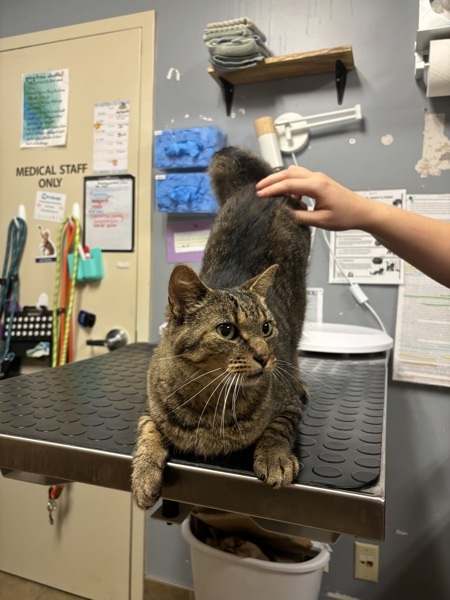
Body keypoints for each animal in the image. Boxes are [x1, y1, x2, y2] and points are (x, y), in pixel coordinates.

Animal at [132, 148, 312, 508]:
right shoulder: (149, 410)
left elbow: (277, 430)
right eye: (227, 330)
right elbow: (147, 433)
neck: (210, 403)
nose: (265, 356)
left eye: (266, 328)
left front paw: (275, 458)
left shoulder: (287, 406)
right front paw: (144, 475)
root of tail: (259, 185)